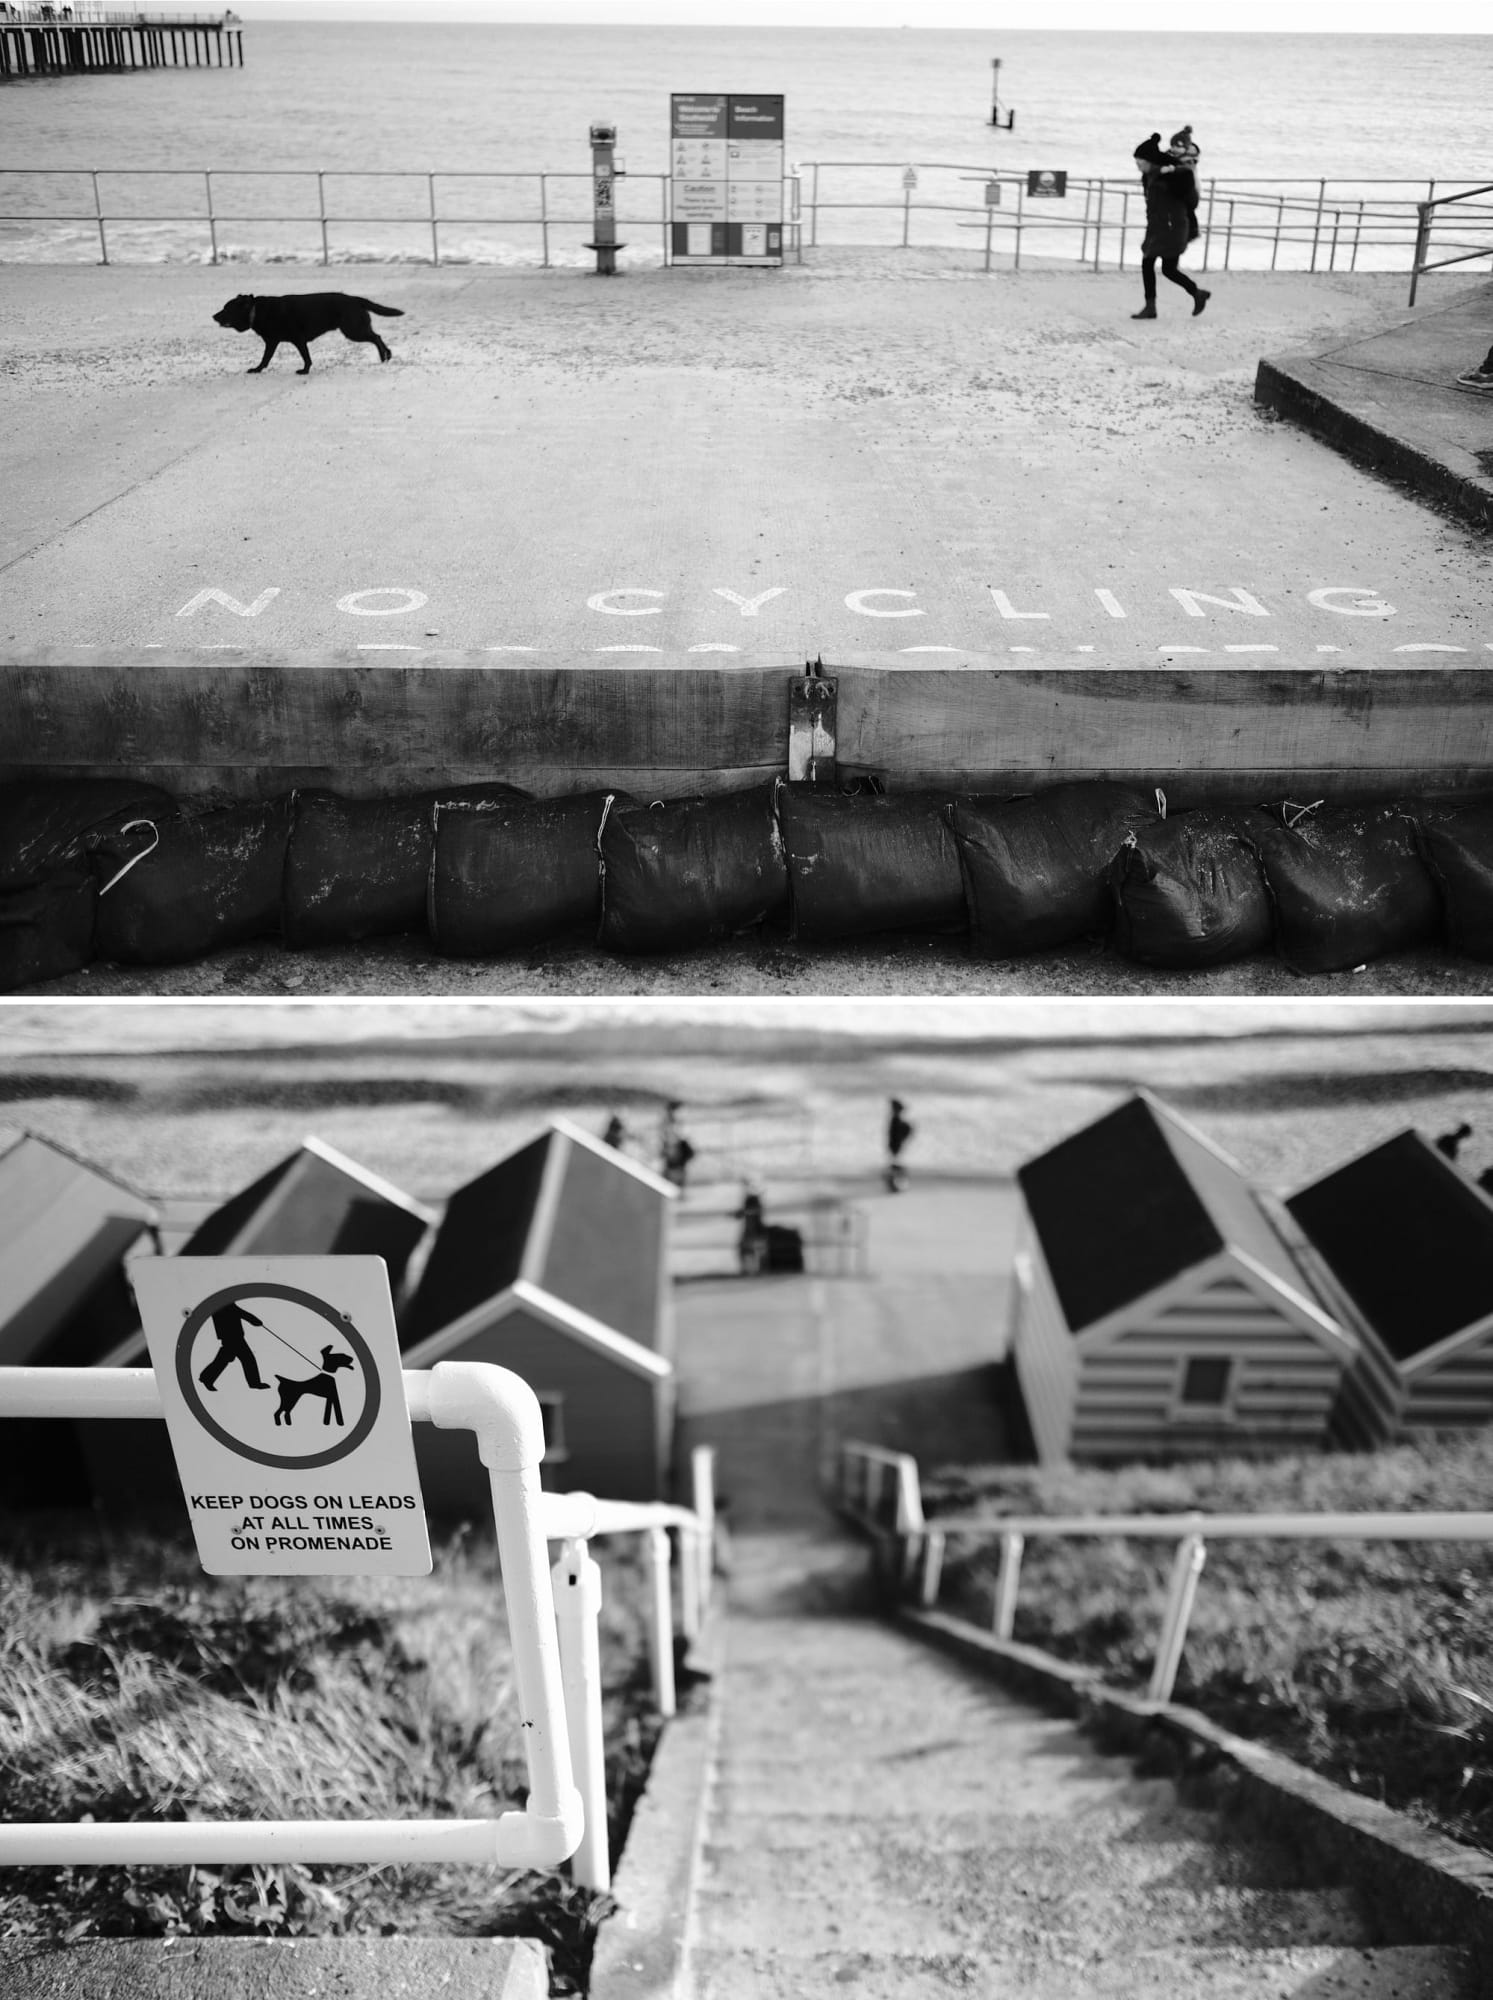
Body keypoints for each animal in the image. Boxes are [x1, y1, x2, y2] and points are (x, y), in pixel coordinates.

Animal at [212, 294, 404, 376]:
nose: (213, 316)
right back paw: (386, 355)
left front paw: (304, 371)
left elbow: (304, 358)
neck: (256, 311)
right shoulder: (274, 342)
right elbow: (266, 358)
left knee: (376, 337)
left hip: (353, 330)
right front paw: (258, 369)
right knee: (377, 336)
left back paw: (385, 355)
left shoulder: (296, 340)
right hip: (355, 329)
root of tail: (355, 299)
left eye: (227, 309)